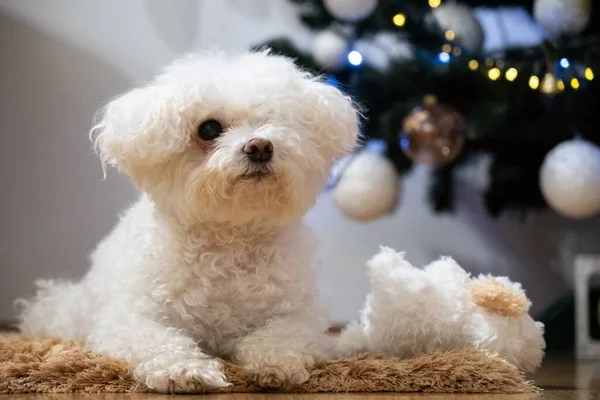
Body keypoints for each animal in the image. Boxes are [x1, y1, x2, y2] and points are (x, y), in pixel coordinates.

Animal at [16, 50, 358, 394]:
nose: (260, 146)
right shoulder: (129, 319)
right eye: (208, 129)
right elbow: (158, 341)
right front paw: (185, 370)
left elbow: (283, 337)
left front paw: (274, 364)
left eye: (276, 121)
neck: (229, 238)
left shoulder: (301, 316)